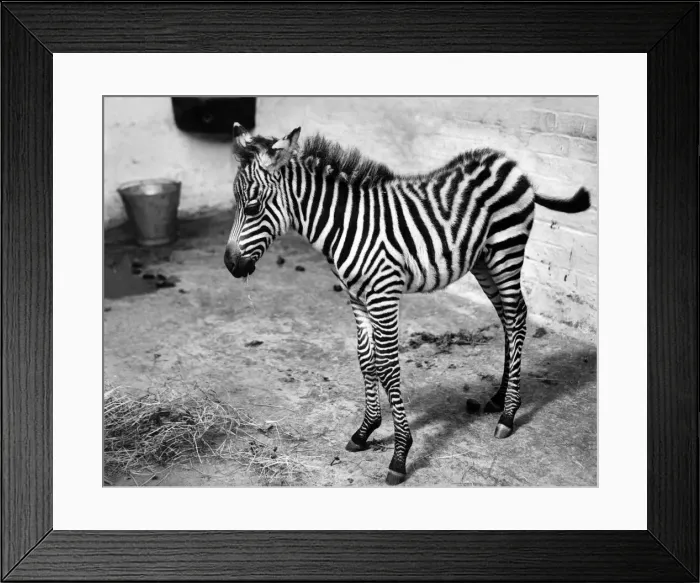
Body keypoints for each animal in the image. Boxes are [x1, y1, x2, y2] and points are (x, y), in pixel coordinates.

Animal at [224, 122, 591, 485]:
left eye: (252, 208)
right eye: (236, 204)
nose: (229, 265)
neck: (345, 225)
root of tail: (510, 163)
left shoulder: (383, 295)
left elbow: (388, 366)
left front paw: (400, 454)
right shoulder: (356, 297)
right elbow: (366, 360)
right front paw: (365, 431)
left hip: (506, 252)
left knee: (516, 318)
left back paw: (509, 414)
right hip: (483, 261)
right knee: (506, 319)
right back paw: (499, 398)